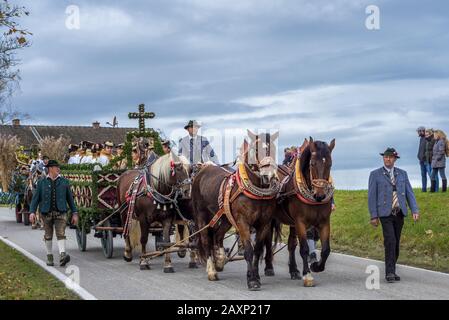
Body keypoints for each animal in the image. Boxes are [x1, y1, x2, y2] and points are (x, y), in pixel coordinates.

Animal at [191, 130, 282, 290]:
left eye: (274, 149)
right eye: (256, 150)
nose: (269, 176)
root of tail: (202, 170)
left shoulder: (264, 224)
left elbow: (257, 250)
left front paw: (255, 276)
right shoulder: (242, 222)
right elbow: (249, 250)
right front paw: (252, 281)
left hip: (225, 217)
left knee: (218, 235)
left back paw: (220, 260)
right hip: (202, 216)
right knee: (206, 239)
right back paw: (212, 270)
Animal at [266, 138, 336, 288]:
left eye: (330, 164)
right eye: (312, 163)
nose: (320, 195)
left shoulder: (324, 222)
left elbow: (326, 250)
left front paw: (316, 266)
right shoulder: (300, 222)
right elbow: (304, 248)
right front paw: (307, 275)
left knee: (291, 244)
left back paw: (294, 270)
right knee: (267, 240)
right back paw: (268, 267)